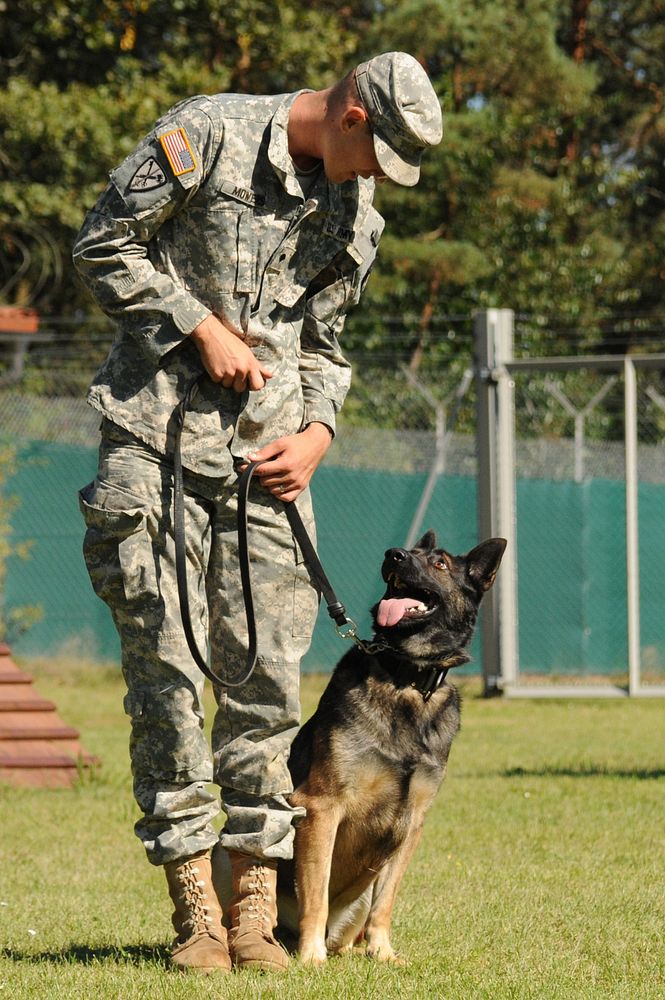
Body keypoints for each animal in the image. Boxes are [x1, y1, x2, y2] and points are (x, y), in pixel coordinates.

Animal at [278, 532, 506, 960]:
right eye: (409, 552)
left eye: (440, 563)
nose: (393, 555)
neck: (406, 679)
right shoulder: (320, 807)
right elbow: (314, 895)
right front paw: (311, 957)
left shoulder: (411, 821)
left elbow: (386, 901)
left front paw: (382, 953)